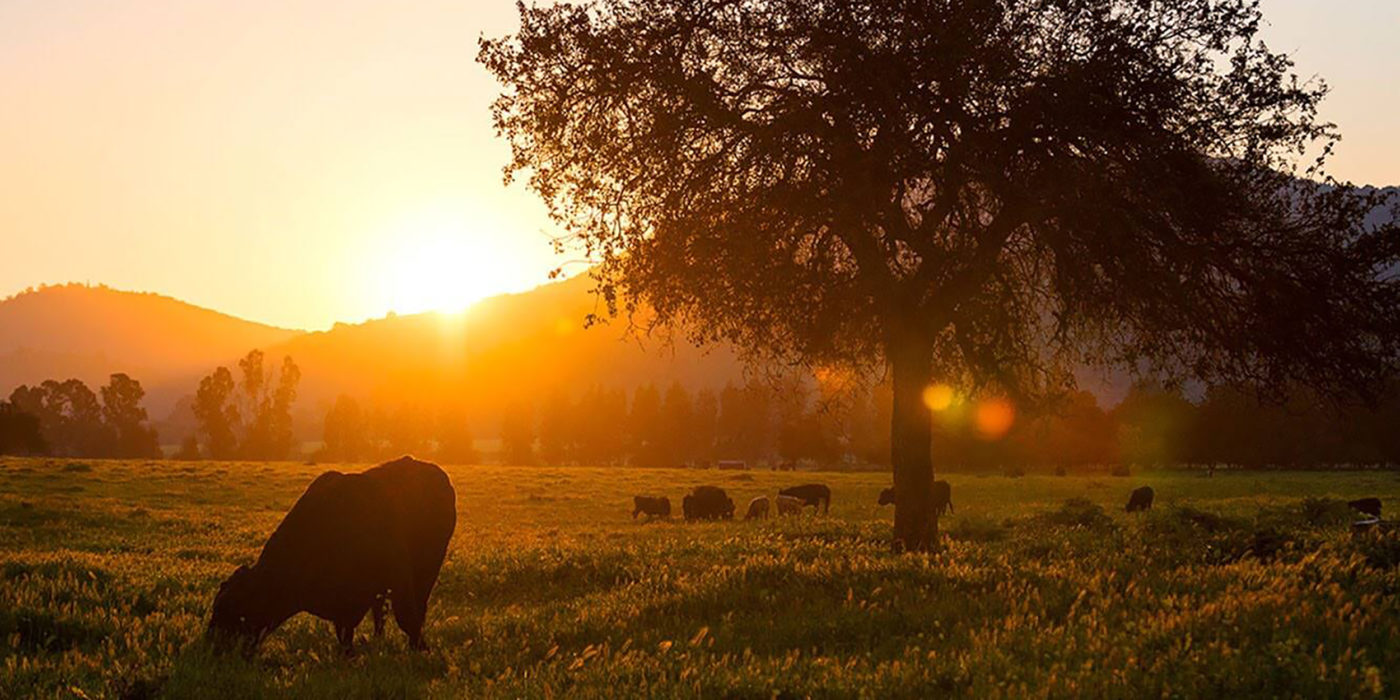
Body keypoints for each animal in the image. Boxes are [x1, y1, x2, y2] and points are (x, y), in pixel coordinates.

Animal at [205, 456, 453, 652]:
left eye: (236, 610)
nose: (212, 647)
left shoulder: (397, 574)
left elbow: (407, 617)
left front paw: (422, 649)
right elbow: (346, 632)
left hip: (428, 570)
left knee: (417, 607)